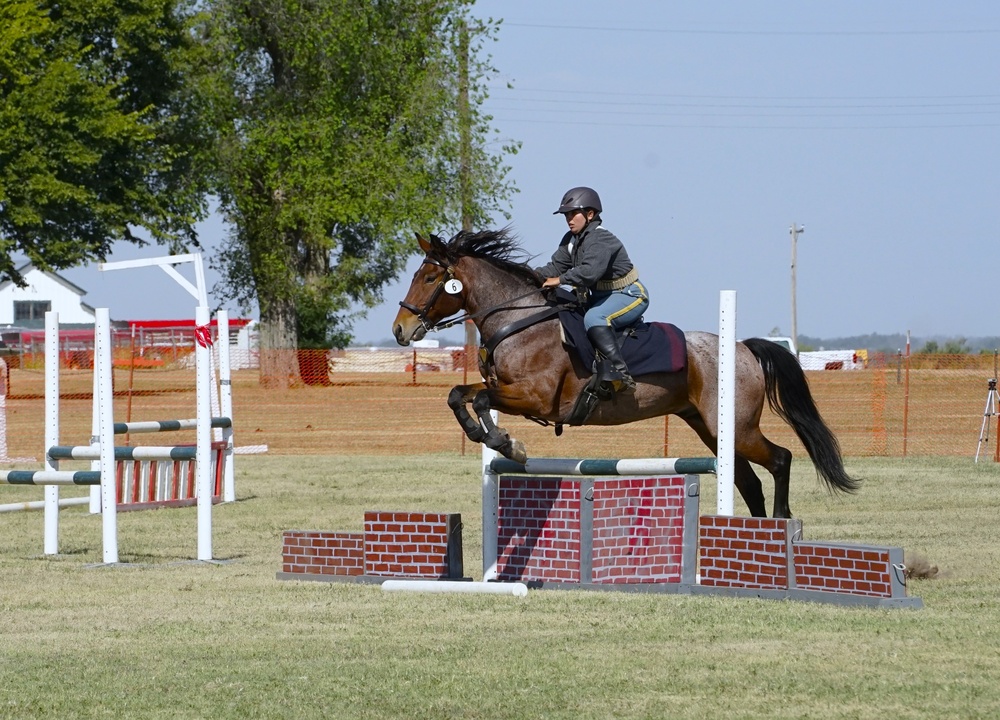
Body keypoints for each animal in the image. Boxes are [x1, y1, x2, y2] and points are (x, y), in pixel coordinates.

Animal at [390, 228, 860, 516]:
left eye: (430, 277)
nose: (401, 329)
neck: (519, 321)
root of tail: (742, 348)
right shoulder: (504, 389)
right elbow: (460, 394)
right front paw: (490, 436)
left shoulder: (537, 399)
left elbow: (481, 399)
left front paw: (508, 443)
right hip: (712, 429)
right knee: (747, 480)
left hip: (737, 428)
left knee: (780, 459)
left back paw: (779, 522)